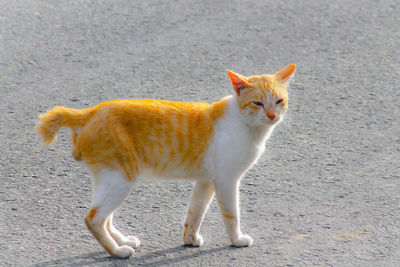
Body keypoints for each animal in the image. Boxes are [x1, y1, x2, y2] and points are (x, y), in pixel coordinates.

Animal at [36, 63, 296, 258]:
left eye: (279, 101)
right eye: (258, 103)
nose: (272, 115)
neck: (247, 126)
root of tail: (89, 111)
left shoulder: (206, 181)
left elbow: (195, 212)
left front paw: (190, 239)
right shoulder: (226, 181)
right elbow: (232, 214)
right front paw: (237, 239)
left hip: (109, 178)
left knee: (105, 217)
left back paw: (124, 241)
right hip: (121, 178)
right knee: (94, 218)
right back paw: (118, 252)